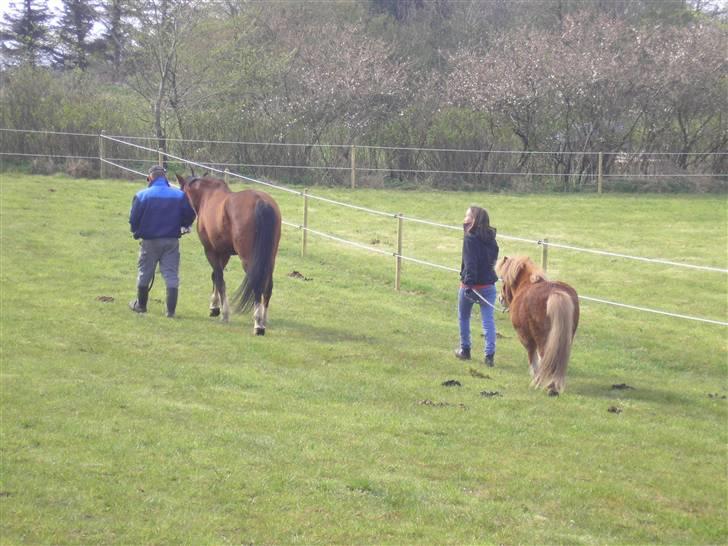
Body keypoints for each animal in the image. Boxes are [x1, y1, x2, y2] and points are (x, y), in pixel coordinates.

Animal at [175, 172, 280, 334]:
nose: (182, 227)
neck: (207, 196)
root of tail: (261, 202)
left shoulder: (210, 251)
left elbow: (219, 278)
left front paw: (223, 312)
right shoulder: (224, 253)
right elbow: (215, 276)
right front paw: (214, 306)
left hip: (248, 260)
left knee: (257, 284)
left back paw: (258, 324)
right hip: (270, 259)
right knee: (268, 287)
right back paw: (263, 319)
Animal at [494, 255, 580, 396]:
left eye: (504, 281)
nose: (500, 299)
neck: (525, 285)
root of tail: (556, 293)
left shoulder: (526, 338)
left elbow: (533, 358)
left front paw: (535, 378)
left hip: (541, 338)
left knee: (544, 356)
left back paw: (546, 384)